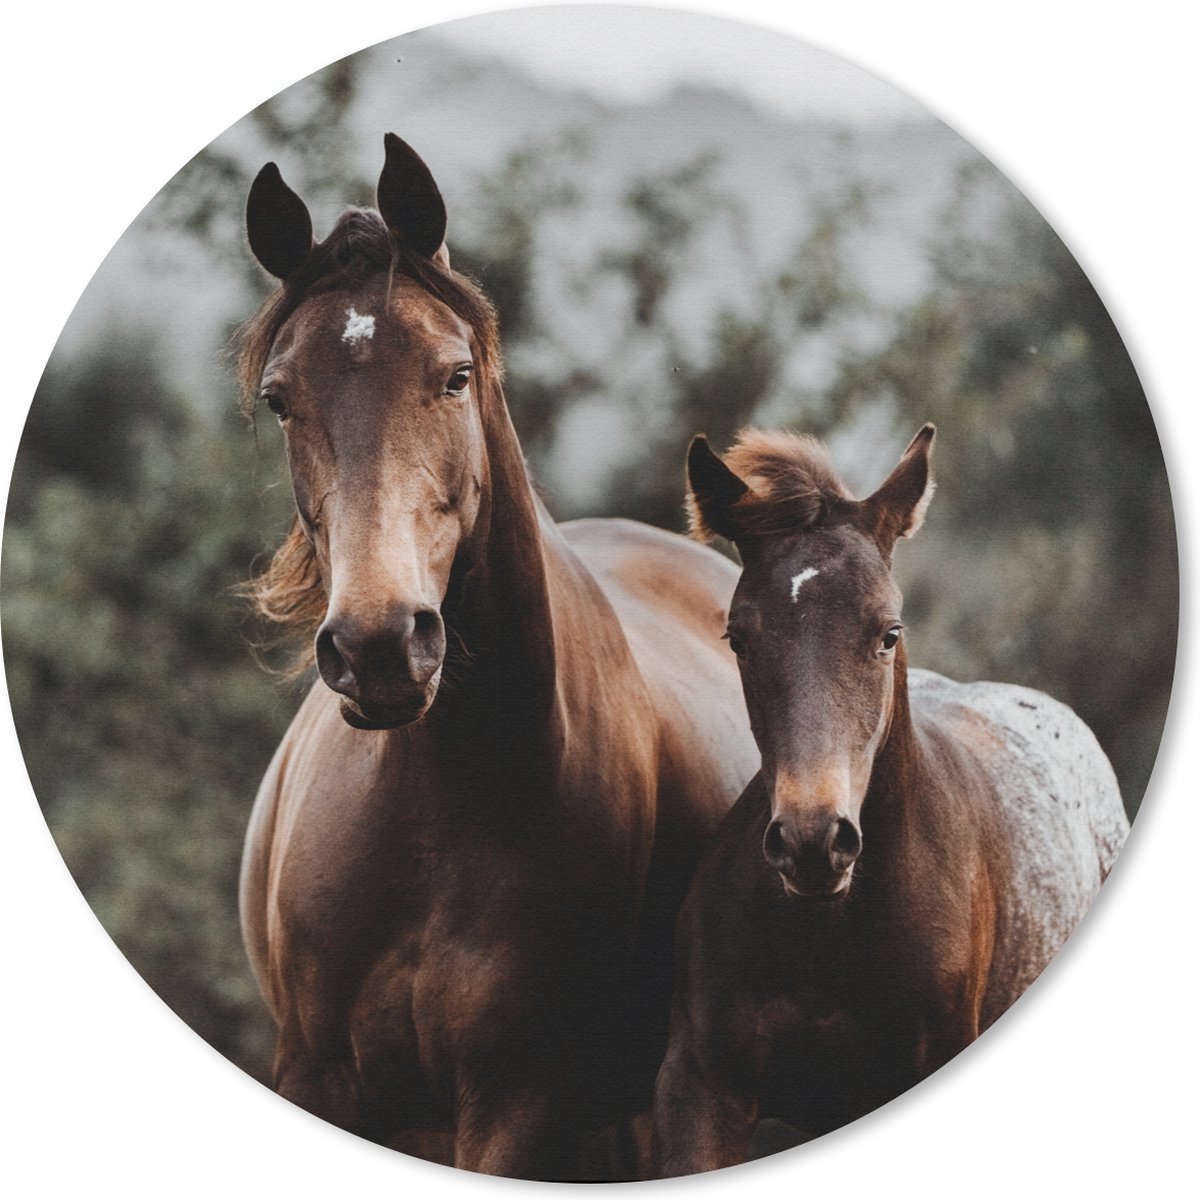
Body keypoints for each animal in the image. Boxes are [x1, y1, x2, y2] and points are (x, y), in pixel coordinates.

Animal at [233, 134, 758, 1180]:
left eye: (454, 375)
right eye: (280, 399)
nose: (380, 646)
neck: (436, 805)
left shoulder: (518, 1107)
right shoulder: (318, 1080)